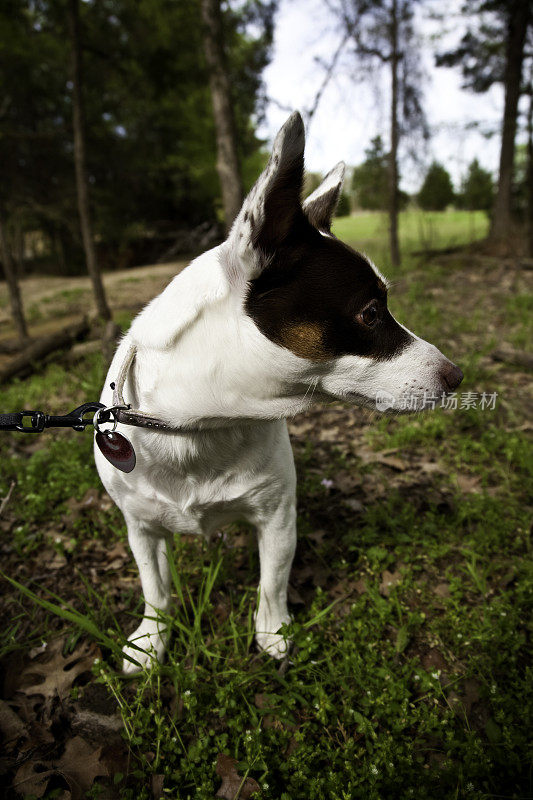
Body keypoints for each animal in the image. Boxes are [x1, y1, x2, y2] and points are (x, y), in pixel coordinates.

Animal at [94, 112, 462, 672]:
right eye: (370, 313)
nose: (456, 374)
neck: (200, 424)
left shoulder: (277, 519)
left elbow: (272, 581)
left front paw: (272, 633)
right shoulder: (141, 528)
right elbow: (155, 587)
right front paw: (152, 639)